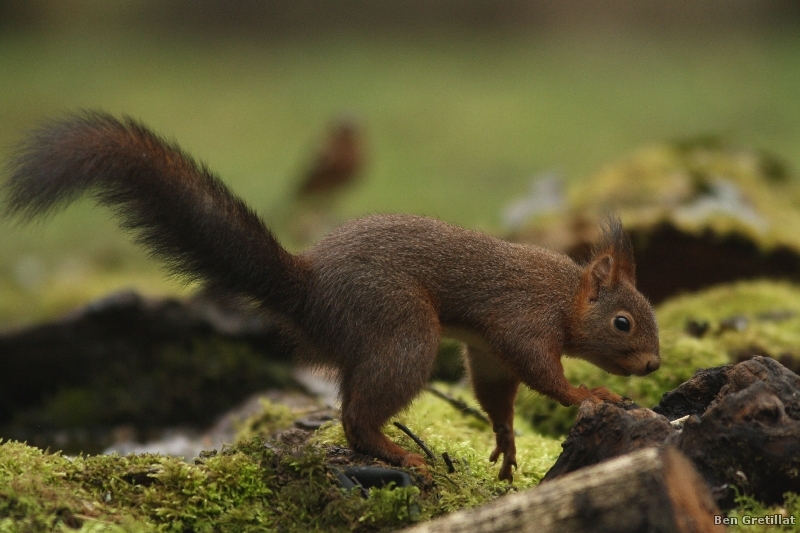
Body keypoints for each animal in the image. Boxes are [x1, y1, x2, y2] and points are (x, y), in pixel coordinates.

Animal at [3, 110, 660, 480]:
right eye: (624, 323)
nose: (655, 365)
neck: (566, 296)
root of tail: (308, 291)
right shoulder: (523, 321)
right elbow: (544, 373)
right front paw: (589, 394)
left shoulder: (490, 350)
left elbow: (497, 393)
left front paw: (505, 442)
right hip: (402, 330)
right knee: (355, 416)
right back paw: (397, 454)